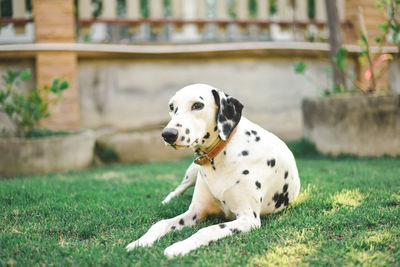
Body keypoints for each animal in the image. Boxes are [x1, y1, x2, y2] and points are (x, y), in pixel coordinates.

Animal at [126, 84, 300, 260]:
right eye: (171, 106)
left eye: (198, 105)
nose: (168, 134)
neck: (222, 153)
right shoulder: (196, 211)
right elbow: (160, 223)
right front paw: (140, 242)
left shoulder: (248, 219)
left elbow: (208, 229)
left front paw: (179, 246)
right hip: (192, 172)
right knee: (178, 189)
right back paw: (168, 201)